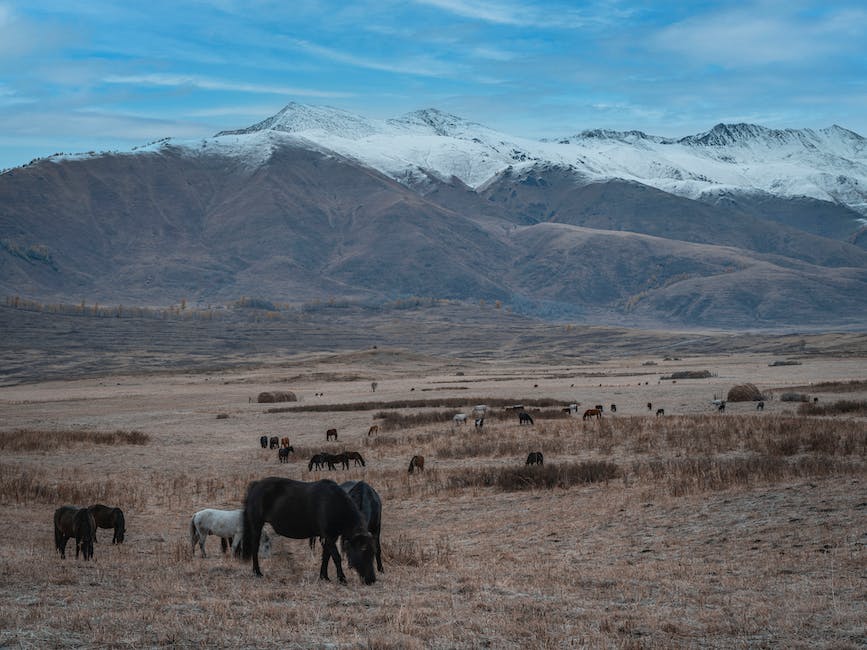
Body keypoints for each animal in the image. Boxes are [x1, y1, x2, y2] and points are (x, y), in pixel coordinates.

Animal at [241, 476, 376, 584]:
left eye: (373, 553)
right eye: (363, 551)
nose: (372, 580)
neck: (334, 504)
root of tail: (256, 485)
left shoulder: (328, 537)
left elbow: (326, 556)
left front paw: (324, 576)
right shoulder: (329, 536)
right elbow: (336, 557)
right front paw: (342, 578)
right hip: (257, 525)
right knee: (255, 547)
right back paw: (257, 572)